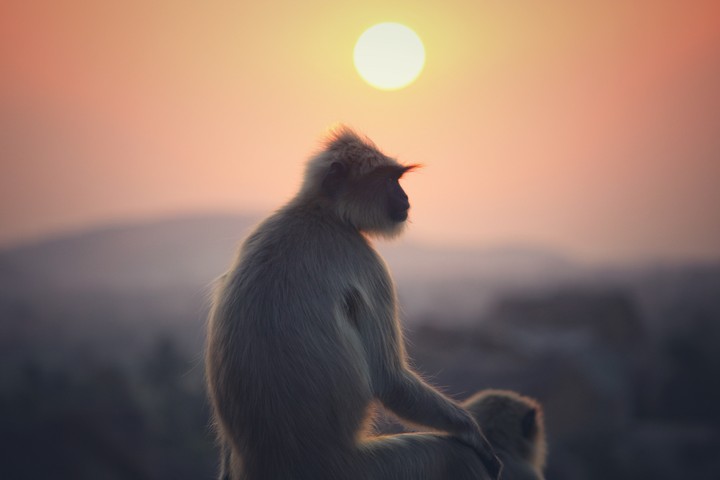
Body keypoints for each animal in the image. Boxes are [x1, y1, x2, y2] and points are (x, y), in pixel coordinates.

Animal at [205, 126, 502, 480]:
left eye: (398, 179)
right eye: (389, 179)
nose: (405, 198)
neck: (320, 212)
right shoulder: (367, 262)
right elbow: (390, 380)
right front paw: (474, 434)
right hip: (360, 468)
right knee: (455, 457)